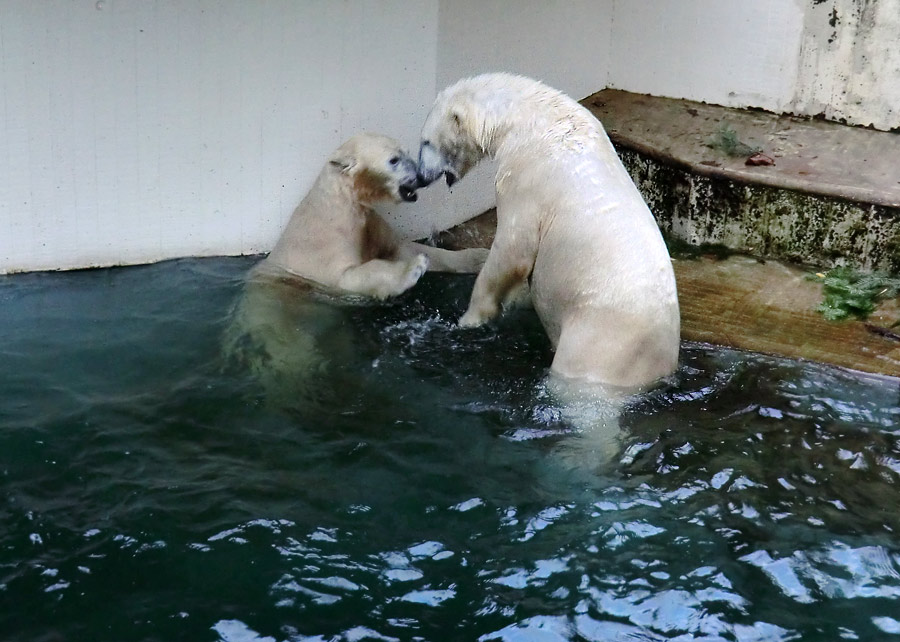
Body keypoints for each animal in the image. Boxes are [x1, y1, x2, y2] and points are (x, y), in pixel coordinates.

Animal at [418, 72, 680, 388]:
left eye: (425, 141)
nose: (420, 175)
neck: (534, 117)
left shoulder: (526, 177)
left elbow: (513, 250)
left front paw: (470, 318)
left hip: (600, 339)